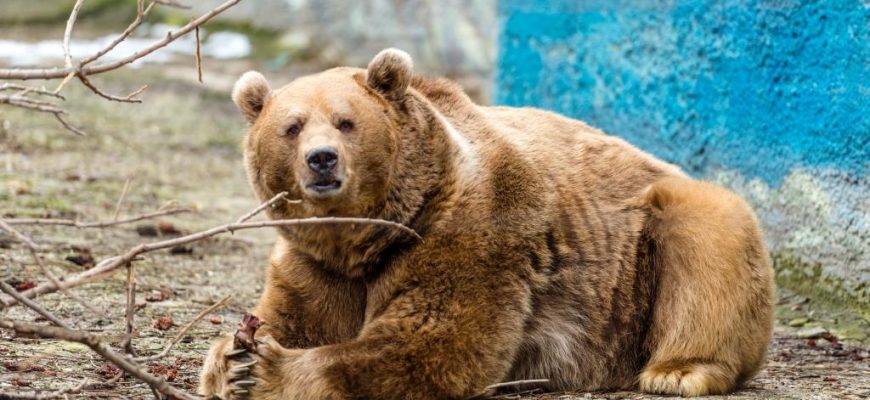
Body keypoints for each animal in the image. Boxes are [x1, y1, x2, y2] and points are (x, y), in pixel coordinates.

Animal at [199, 48, 775, 399]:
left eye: (346, 121)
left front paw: (267, 371)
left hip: (650, 241)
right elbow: (293, 315)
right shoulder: (315, 261)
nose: (322, 160)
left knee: (709, 237)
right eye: (292, 127)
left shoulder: (468, 230)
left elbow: (432, 341)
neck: (369, 235)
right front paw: (231, 361)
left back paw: (678, 371)